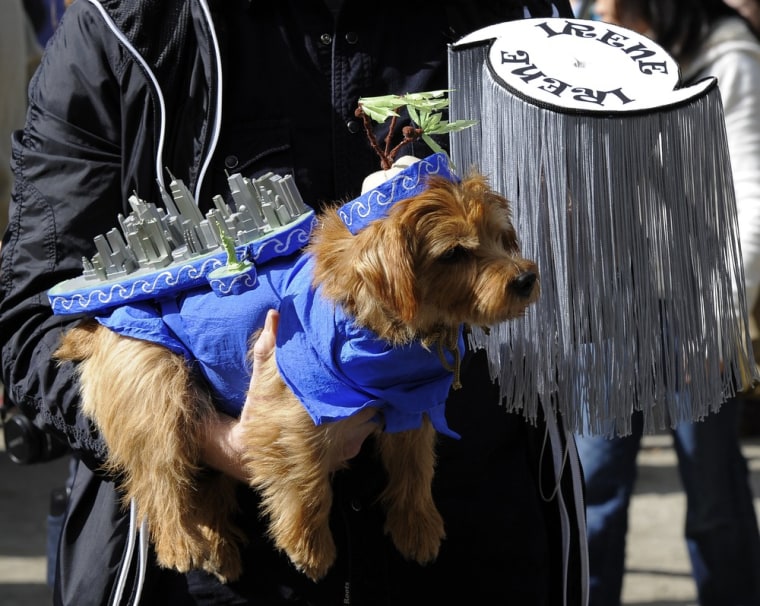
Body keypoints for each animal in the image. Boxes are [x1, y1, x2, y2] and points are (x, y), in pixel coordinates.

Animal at [55, 157, 540, 584]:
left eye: (502, 237)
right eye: (454, 253)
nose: (525, 279)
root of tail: (94, 323)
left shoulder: (410, 401)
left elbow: (415, 465)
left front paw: (417, 526)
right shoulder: (292, 404)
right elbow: (306, 477)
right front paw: (310, 547)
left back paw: (219, 547)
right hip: (157, 392)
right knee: (158, 478)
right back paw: (181, 544)